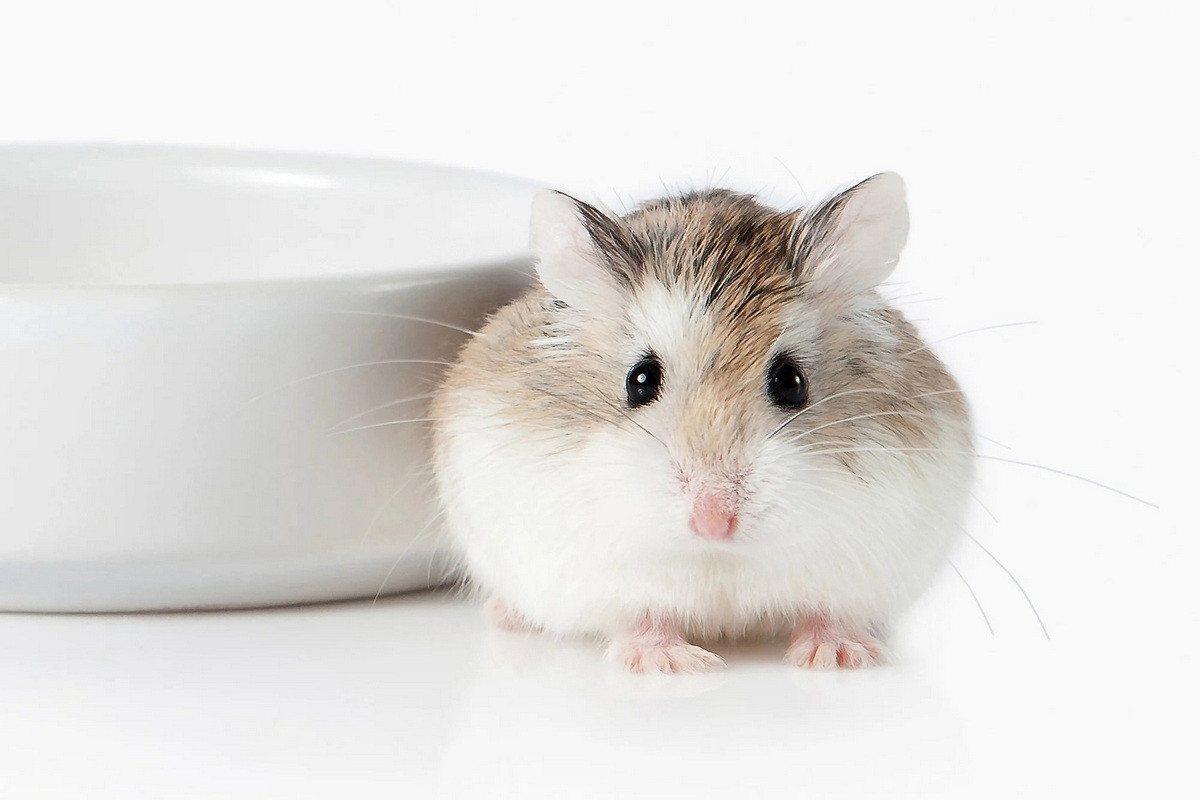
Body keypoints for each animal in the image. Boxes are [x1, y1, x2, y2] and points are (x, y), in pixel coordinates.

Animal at [431, 173, 973, 674]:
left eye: (792, 383)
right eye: (640, 380)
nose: (714, 522)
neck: (716, 556)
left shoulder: (859, 564)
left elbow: (829, 610)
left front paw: (839, 656)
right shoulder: (609, 575)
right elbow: (643, 614)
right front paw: (670, 664)